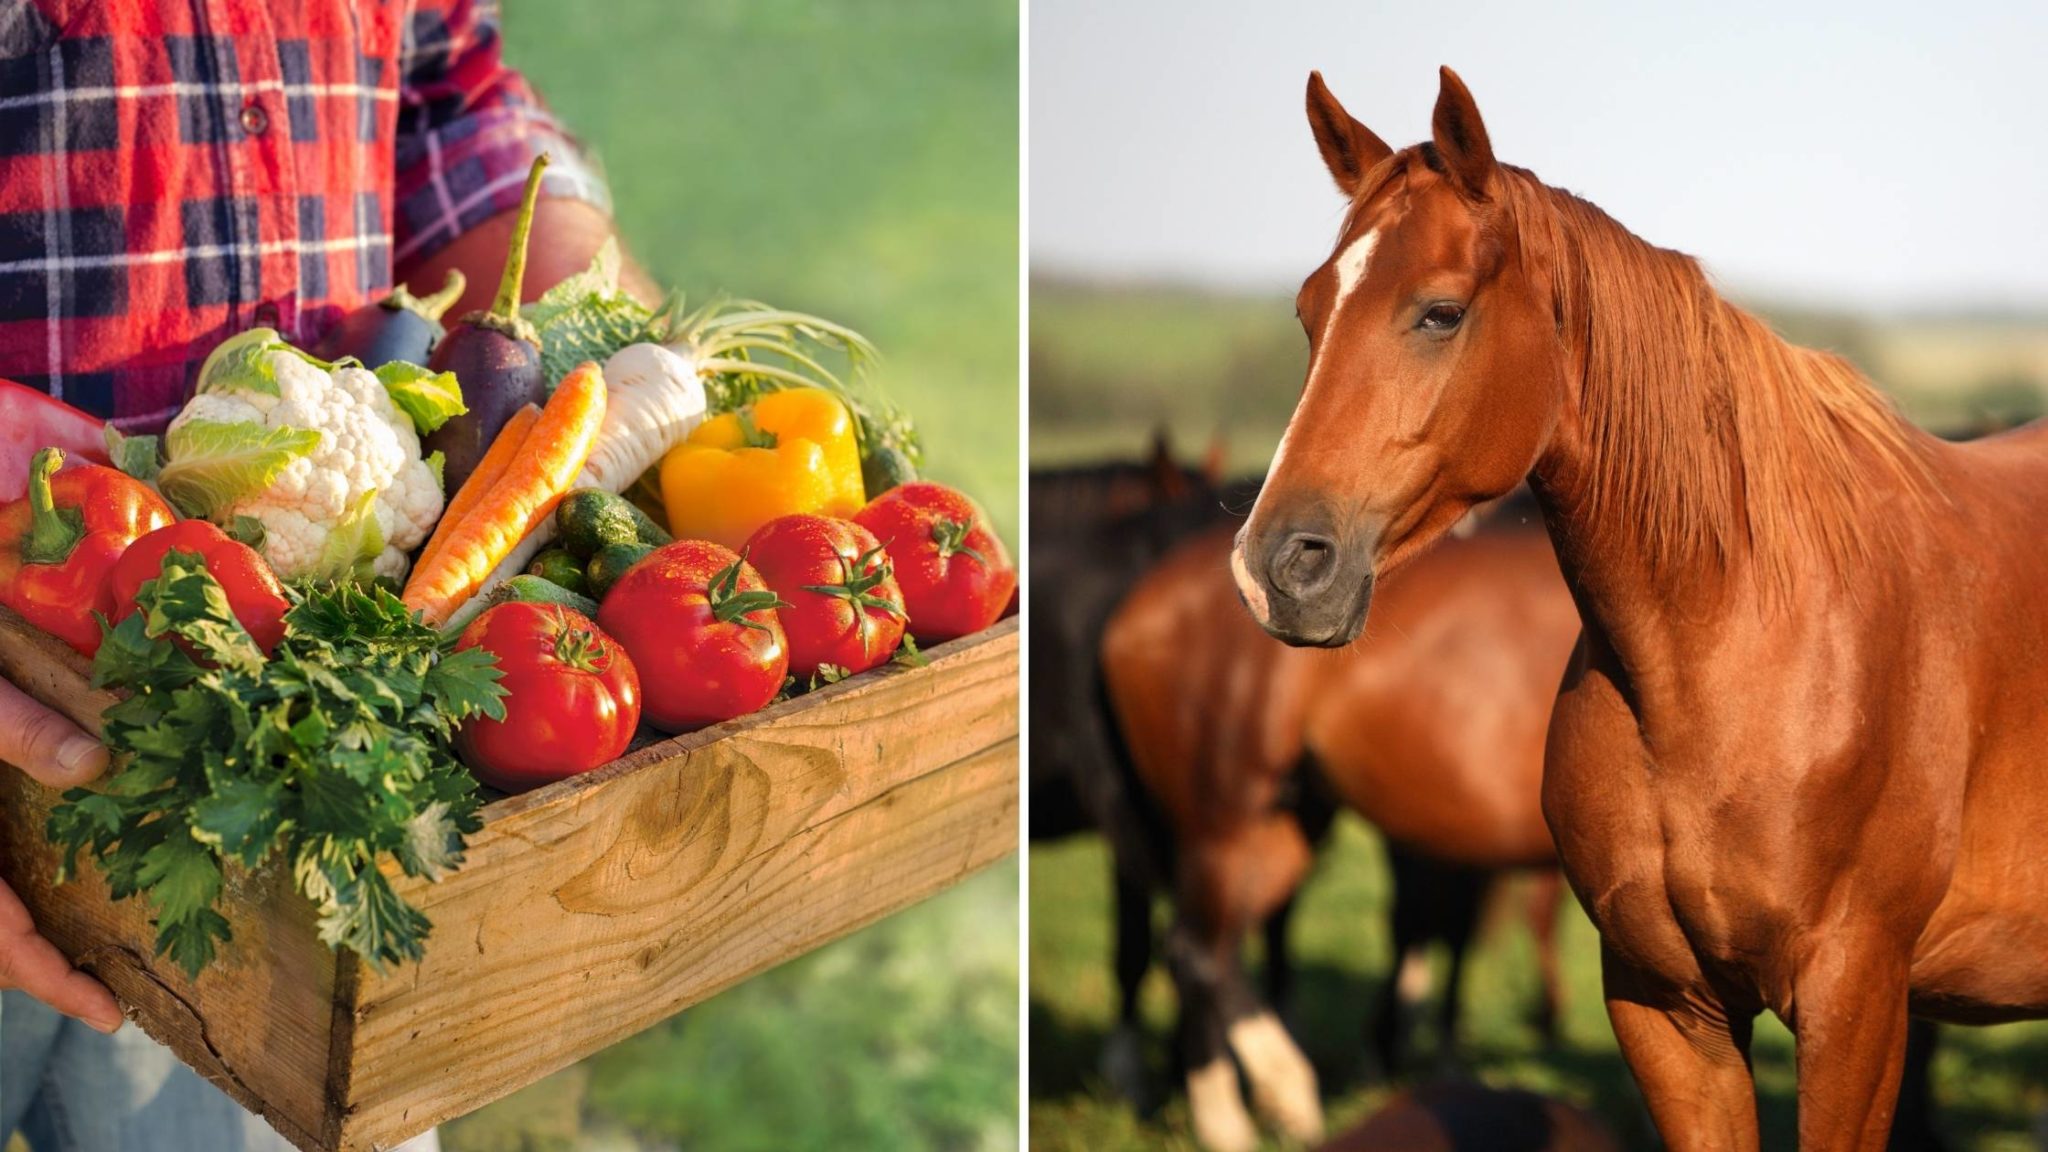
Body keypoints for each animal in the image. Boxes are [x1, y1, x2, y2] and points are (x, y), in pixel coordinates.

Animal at [1103, 510, 1581, 1151]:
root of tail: (1136, 606)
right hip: (1222, 825)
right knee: (1196, 954)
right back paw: (1230, 1119)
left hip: (1281, 828)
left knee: (1208, 947)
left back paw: (1285, 1093)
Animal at [1231, 65, 2048, 1149]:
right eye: (1308, 311)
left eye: (1439, 312)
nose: (1278, 566)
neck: (1731, 646)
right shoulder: (1667, 1009)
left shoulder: (1858, 1008)